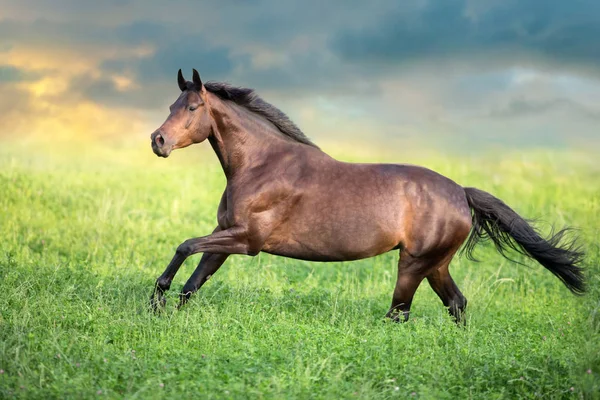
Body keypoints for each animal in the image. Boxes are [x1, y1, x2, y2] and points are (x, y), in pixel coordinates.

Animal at [148, 69, 584, 324]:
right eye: (171, 104)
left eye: (192, 107)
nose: (158, 141)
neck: (262, 164)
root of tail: (462, 192)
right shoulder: (225, 236)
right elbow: (193, 282)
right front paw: (167, 312)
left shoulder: (247, 240)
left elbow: (185, 246)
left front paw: (156, 300)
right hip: (436, 266)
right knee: (456, 303)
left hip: (414, 265)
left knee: (399, 313)